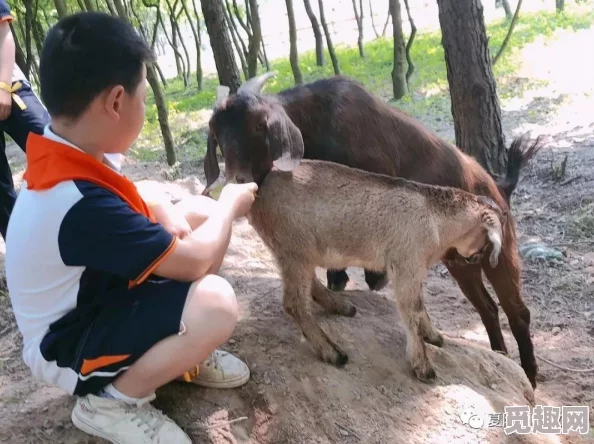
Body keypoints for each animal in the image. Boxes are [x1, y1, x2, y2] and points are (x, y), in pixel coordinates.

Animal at [245, 160, 504, 382]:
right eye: (484, 238)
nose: (476, 258)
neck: (435, 220)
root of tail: (261, 190)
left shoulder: (415, 267)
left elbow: (420, 306)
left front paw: (433, 335)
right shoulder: (406, 264)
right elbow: (412, 310)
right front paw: (423, 366)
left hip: (297, 251)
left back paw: (342, 307)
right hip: (294, 246)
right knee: (294, 303)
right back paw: (333, 352)